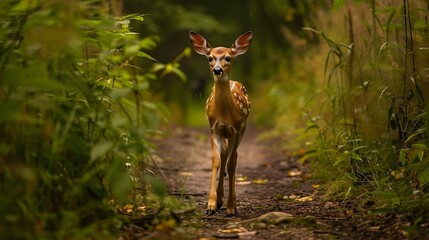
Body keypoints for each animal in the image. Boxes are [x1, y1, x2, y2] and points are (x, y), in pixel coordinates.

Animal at [190, 31, 252, 217]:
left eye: (228, 58)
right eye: (210, 58)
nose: (217, 69)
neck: (224, 115)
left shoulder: (236, 129)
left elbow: (231, 164)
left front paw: (231, 207)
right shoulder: (214, 129)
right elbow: (216, 161)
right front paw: (210, 205)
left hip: (242, 129)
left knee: (234, 157)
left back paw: (231, 202)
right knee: (224, 154)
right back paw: (219, 199)